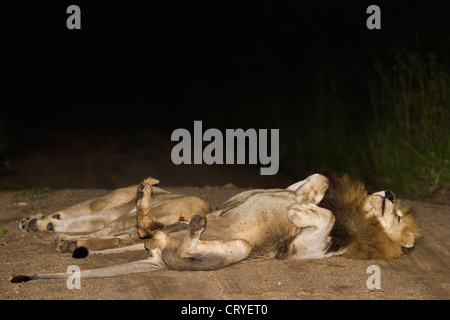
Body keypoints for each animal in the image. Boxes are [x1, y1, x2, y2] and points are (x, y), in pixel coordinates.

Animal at [12, 172, 420, 282]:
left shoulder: (302, 250)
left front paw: (298, 210)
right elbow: (314, 182)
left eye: (399, 217)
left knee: (162, 237)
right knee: (144, 229)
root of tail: (157, 258)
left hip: (236, 248)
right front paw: (306, 197)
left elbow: (327, 217)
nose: (391, 193)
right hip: (168, 228)